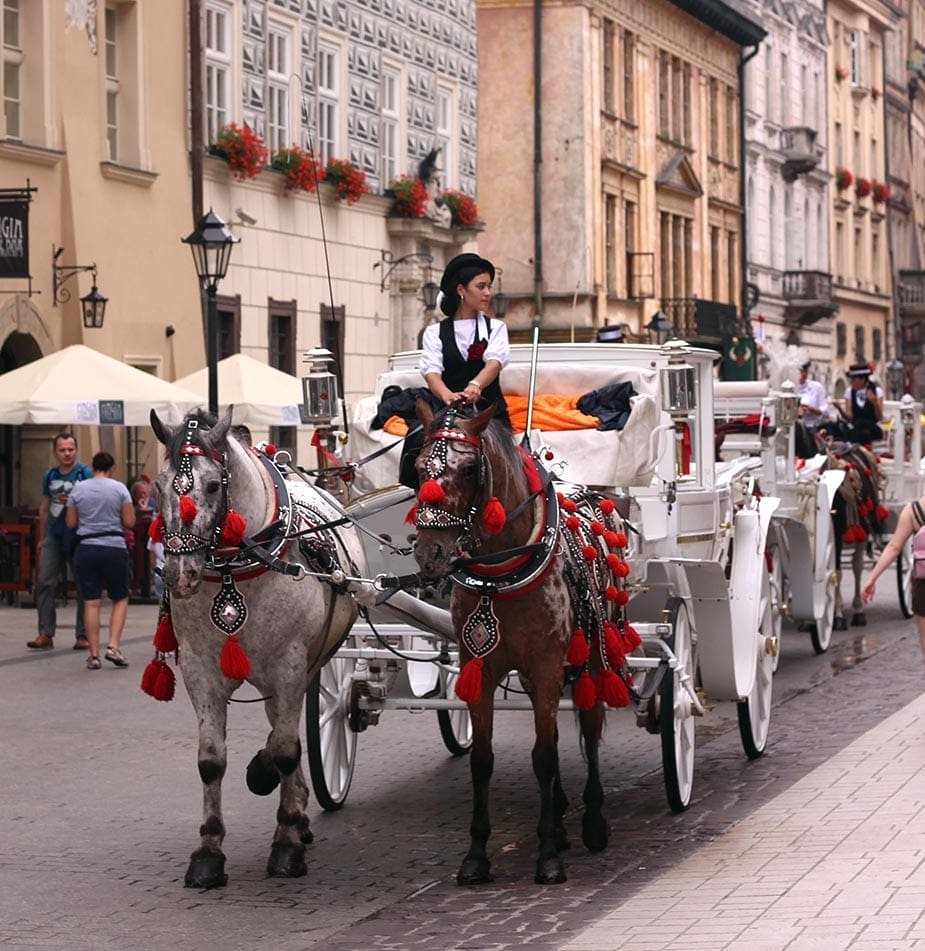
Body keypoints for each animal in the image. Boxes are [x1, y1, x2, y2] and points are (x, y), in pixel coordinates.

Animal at [146, 408, 370, 884]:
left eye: (214, 484)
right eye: (158, 484)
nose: (179, 574)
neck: (237, 568)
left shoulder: (289, 665)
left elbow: (285, 749)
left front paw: (285, 841)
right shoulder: (200, 671)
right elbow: (211, 760)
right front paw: (208, 851)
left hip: (307, 663)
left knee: (288, 735)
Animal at [412, 402, 636, 884]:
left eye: (470, 468)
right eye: (418, 467)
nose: (429, 554)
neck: (500, 572)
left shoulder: (548, 665)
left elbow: (545, 757)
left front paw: (548, 854)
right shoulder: (479, 667)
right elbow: (482, 760)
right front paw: (476, 855)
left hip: (594, 653)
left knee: (590, 727)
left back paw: (592, 822)